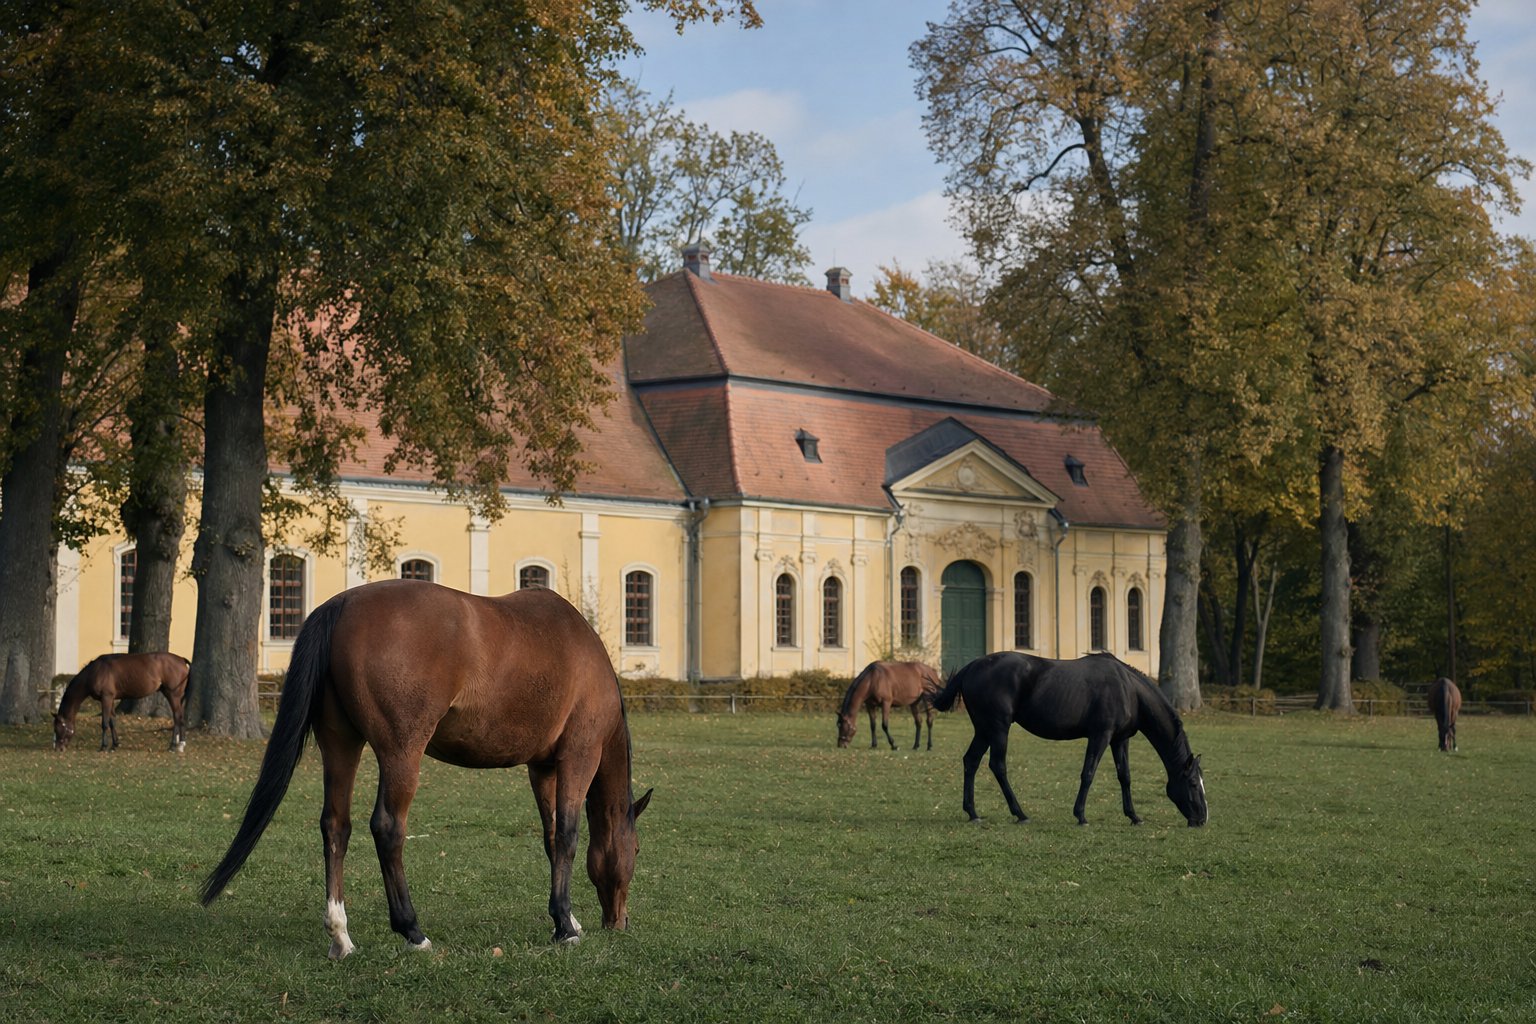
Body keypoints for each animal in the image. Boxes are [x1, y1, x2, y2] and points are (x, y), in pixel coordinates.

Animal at [52, 652, 189, 753]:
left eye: (59, 728)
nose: (58, 748)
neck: (95, 672)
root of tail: (182, 660)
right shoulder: (111, 699)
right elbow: (112, 721)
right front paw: (115, 745)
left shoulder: (106, 698)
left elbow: (105, 723)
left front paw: (103, 746)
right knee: (180, 717)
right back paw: (180, 744)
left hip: (173, 695)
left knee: (177, 717)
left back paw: (174, 745)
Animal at [200, 579, 653, 958]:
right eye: (635, 850)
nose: (620, 922)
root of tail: (342, 605)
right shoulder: (578, 756)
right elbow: (568, 837)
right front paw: (565, 925)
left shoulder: (542, 768)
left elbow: (550, 836)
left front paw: (566, 917)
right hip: (402, 753)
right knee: (387, 828)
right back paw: (412, 931)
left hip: (341, 744)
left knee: (336, 826)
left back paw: (341, 936)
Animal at [931, 651, 1207, 827]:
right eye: (1193, 783)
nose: (1203, 819)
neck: (1129, 689)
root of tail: (973, 666)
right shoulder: (1100, 735)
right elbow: (1088, 773)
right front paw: (1081, 816)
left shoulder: (1119, 740)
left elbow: (1125, 777)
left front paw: (1133, 816)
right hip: (998, 728)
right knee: (997, 766)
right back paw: (1020, 813)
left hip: (984, 730)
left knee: (971, 762)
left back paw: (973, 812)